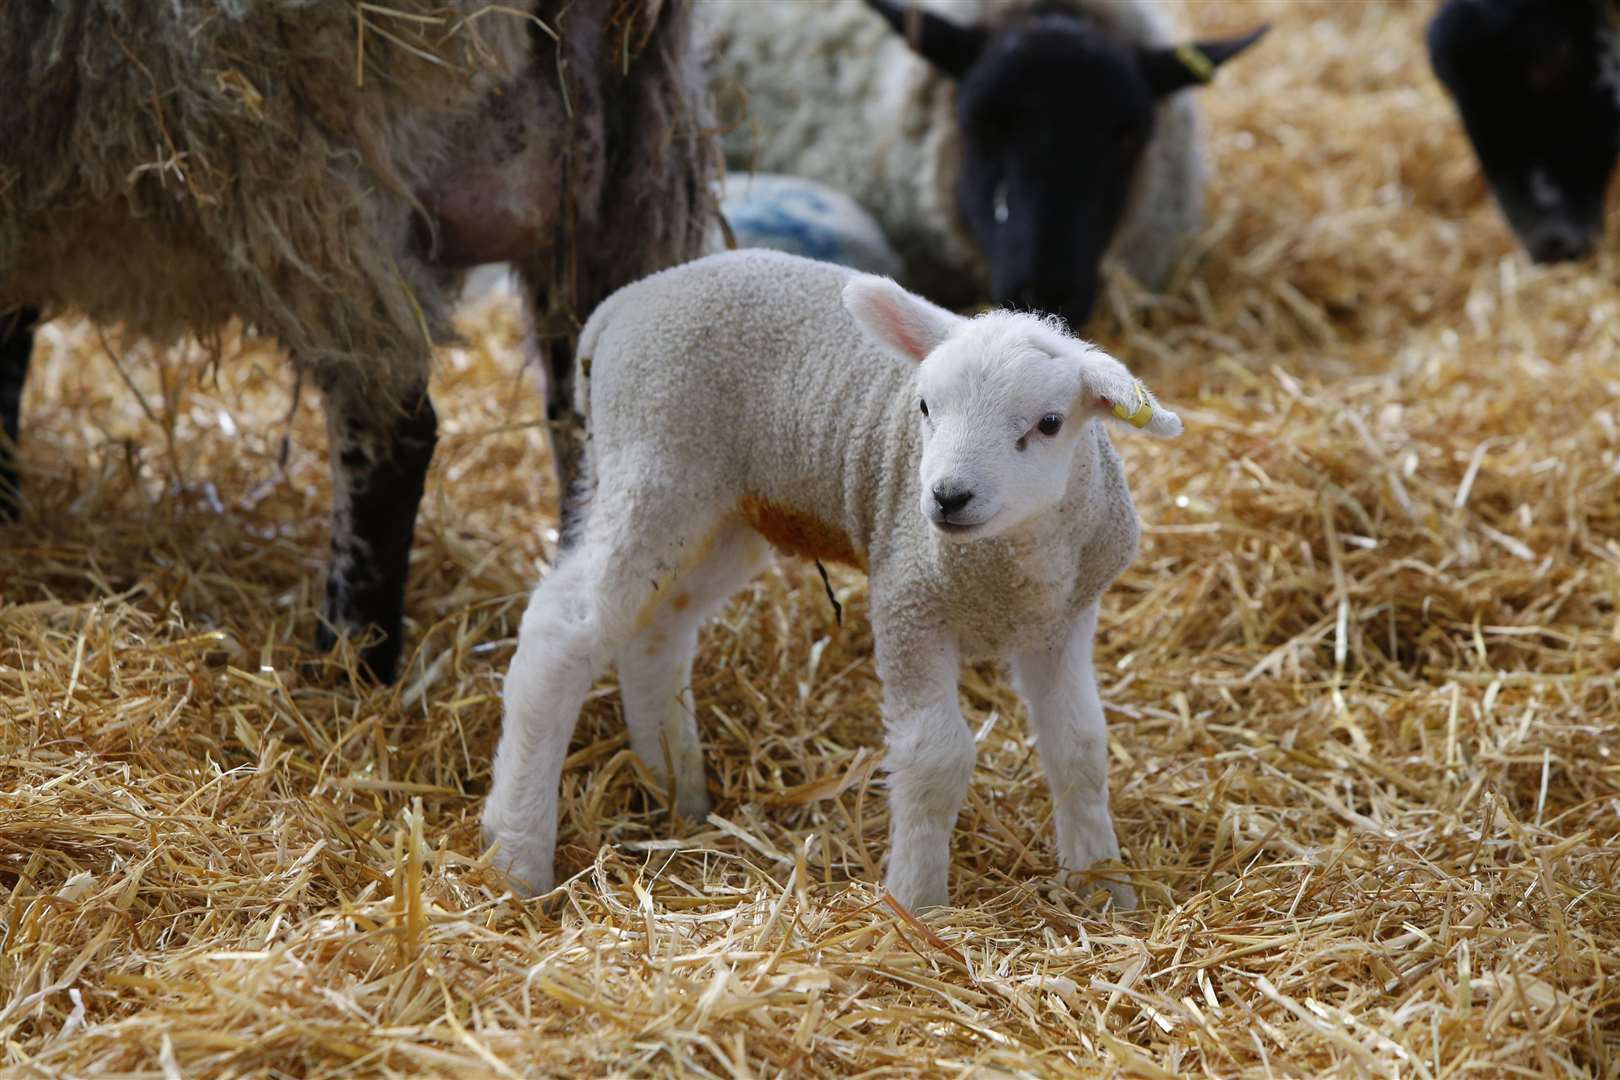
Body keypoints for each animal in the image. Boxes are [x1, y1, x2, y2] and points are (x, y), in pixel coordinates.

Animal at [479, 247, 1179, 913]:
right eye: (924, 407)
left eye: (1050, 423)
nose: (947, 496)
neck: (1006, 565)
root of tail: (622, 305)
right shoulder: (909, 603)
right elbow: (935, 755)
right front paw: (917, 906)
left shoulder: (1061, 621)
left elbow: (1080, 748)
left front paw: (1104, 889)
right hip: (654, 463)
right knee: (560, 633)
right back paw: (518, 854)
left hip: (725, 514)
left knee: (656, 634)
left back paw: (679, 794)